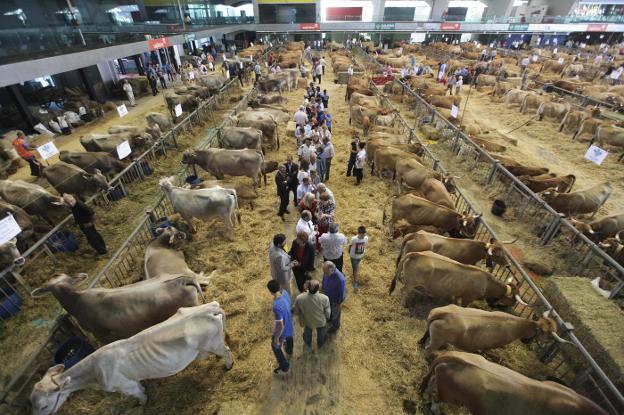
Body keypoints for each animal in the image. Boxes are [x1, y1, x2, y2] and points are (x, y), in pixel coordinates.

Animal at [31, 302, 234, 415]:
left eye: (43, 406)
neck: (95, 371)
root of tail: (210, 308)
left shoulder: (126, 385)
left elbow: (140, 394)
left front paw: (142, 405)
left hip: (213, 343)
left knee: (226, 351)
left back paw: (228, 366)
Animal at [390, 250, 520, 308]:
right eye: (512, 299)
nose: (513, 305)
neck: (486, 281)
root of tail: (417, 254)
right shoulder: (468, 297)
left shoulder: (459, 293)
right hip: (410, 283)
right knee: (403, 291)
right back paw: (403, 305)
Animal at [416, 306, 568, 358]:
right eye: (547, 336)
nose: (526, 341)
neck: (517, 325)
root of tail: (444, 313)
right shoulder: (492, 345)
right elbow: (484, 350)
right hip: (437, 340)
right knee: (428, 349)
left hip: (430, 329)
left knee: (424, 337)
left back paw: (420, 343)